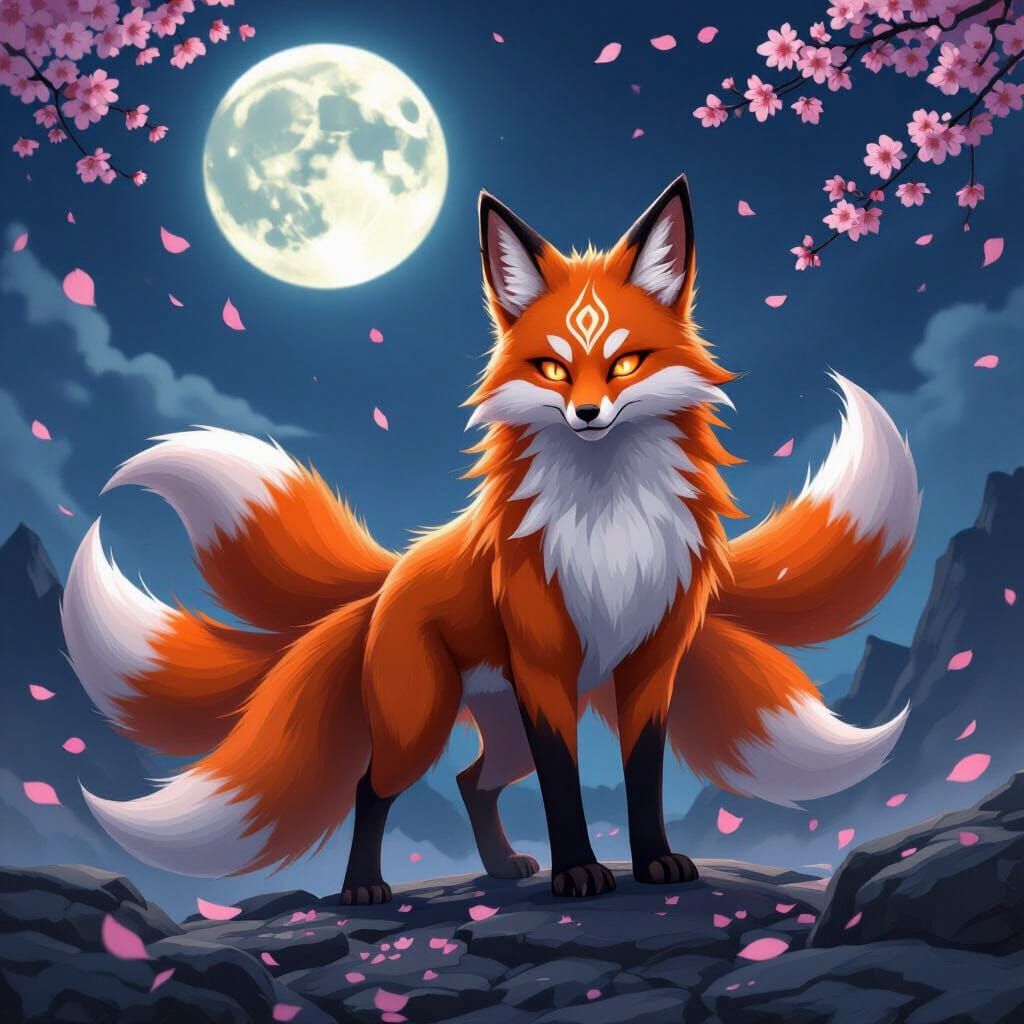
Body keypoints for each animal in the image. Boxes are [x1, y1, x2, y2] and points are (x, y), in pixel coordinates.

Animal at [62, 174, 919, 903]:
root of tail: (392, 576)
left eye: (625, 363)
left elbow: (642, 777)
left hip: (499, 725)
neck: (608, 524)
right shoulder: (545, 667)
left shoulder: (650, 665)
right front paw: (579, 874)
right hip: (420, 721)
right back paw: (364, 888)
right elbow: (563, 784)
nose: (587, 415)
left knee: (473, 782)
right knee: (372, 787)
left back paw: (503, 867)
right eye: (552, 369)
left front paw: (653, 862)